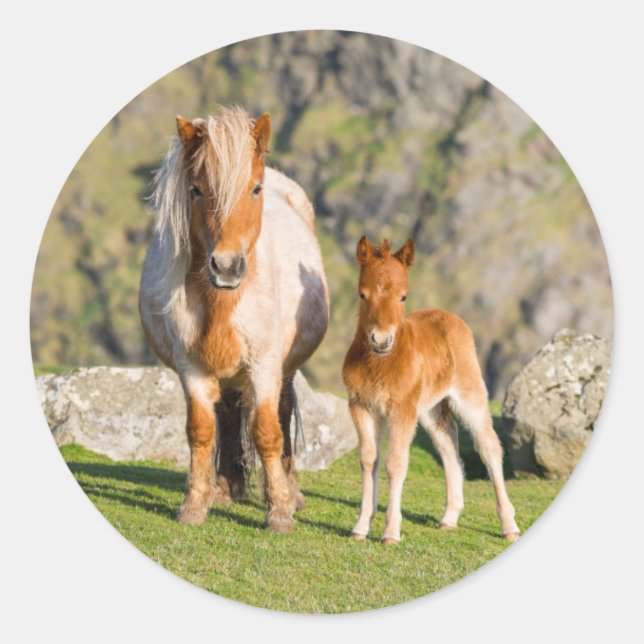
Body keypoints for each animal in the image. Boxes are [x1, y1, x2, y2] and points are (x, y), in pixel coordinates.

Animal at [139, 106, 329, 533]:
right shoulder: (191, 367)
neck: (223, 301)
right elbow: (200, 430)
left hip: (283, 368)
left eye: (255, 189)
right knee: (226, 412)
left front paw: (279, 512)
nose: (226, 267)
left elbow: (267, 432)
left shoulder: (264, 364)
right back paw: (227, 487)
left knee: (282, 413)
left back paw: (291, 492)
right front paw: (195, 505)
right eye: (195, 190)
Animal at [342, 236, 519, 544]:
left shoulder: (402, 411)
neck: (381, 364)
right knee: (448, 444)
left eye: (403, 296)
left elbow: (395, 463)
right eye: (362, 294)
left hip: (469, 396)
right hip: (431, 409)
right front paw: (361, 527)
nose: (381, 340)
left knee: (488, 447)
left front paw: (391, 532)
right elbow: (368, 461)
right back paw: (449, 518)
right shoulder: (361, 407)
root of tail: (451, 316)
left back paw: (509, 525)